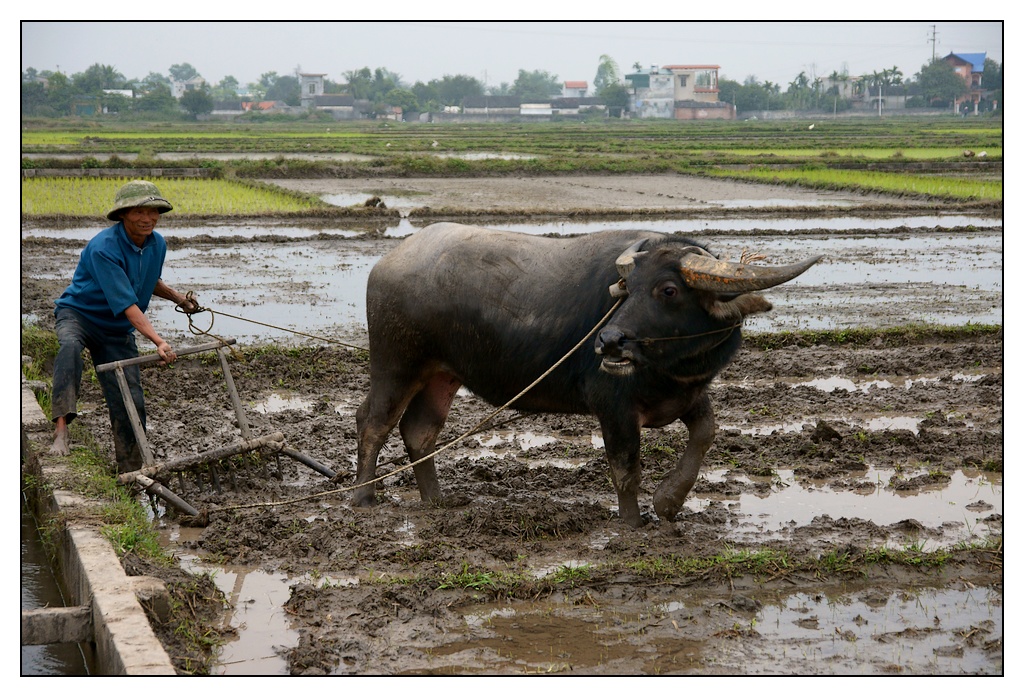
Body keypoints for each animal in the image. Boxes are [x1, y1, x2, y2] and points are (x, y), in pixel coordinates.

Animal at [348, 223, 819, 528]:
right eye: (627, 289)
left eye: (668, 290)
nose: (608, 341)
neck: (667, 368)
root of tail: (388, 263)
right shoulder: (614, 409)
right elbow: (626, 467)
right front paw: (632, 523)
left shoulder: (687, 396)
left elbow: (706, 434)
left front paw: (668, 502)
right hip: (395, 365)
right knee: (373, 422)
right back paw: (363, 497)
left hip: (441, 375)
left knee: (419, 431)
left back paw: (437, 501)